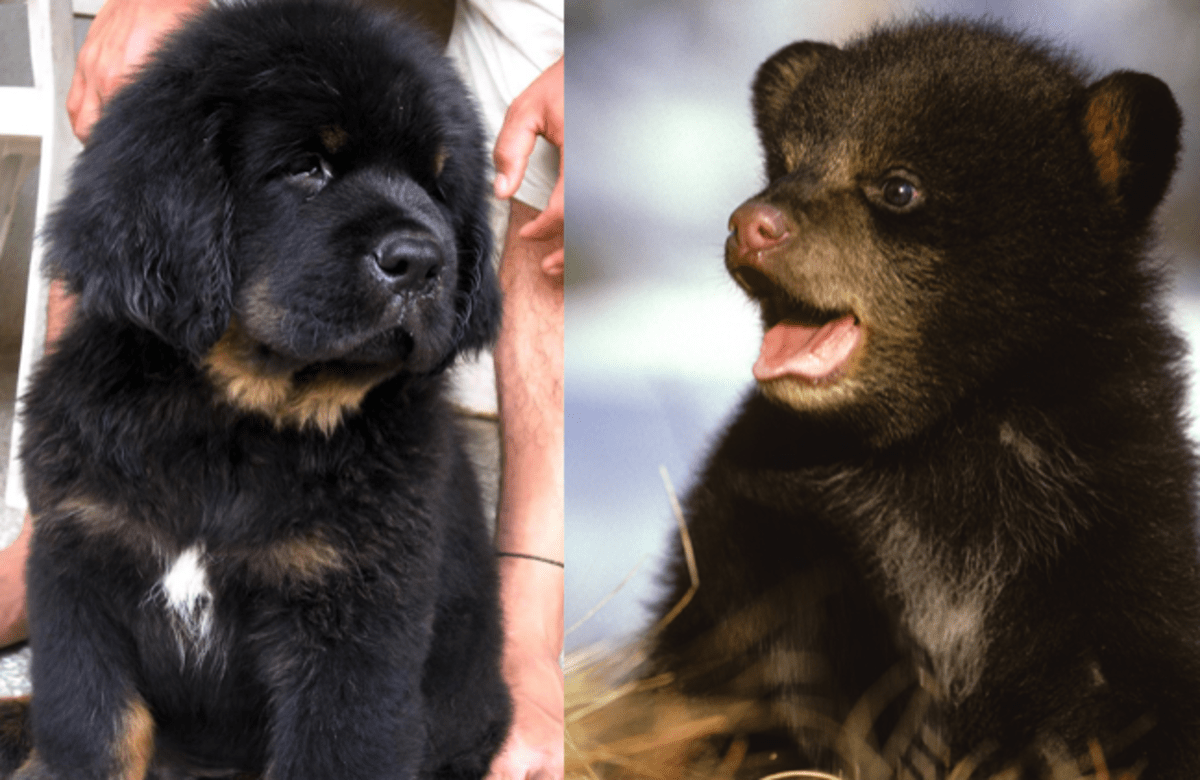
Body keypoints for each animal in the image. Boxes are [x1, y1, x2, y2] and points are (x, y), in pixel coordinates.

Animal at [643, 18, 1200, 780]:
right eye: (783, 163)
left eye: (898, 186)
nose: (753, 224)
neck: (942, 438)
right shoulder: (774, 533)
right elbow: (764, 661)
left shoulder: (1114, 518)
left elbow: (1131, 688)